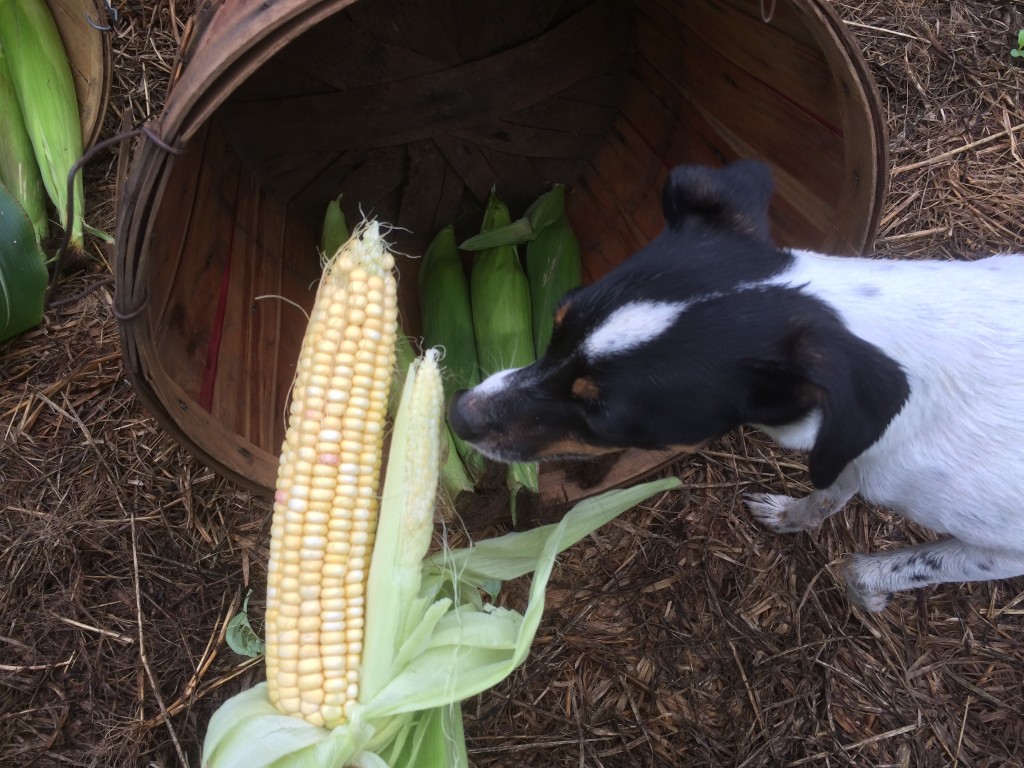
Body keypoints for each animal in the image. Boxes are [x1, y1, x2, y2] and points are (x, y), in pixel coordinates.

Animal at [452, 160, 1024, 614]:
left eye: (606, 417)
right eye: (557, 323)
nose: (457, 414)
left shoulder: (1006, 549)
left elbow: (865, 567)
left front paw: (869, 593)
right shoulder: (850, 444)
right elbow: (829, 491)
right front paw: (792, 517)